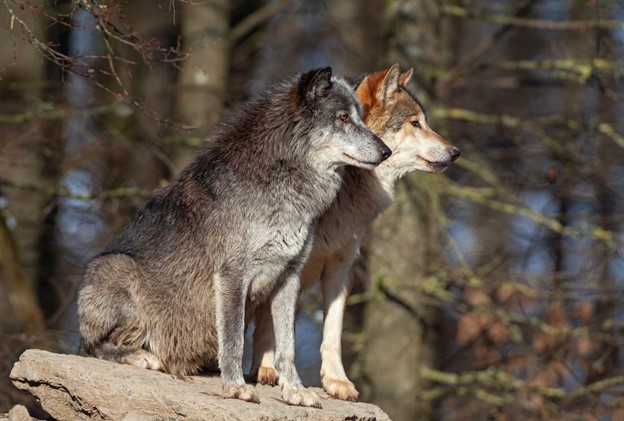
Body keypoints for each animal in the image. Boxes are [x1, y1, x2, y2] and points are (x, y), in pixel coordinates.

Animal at [78, 66, 390, 406]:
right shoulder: (232, 275)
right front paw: (236, 387)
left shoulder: (289, 275)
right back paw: (141, 356)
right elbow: (234, 339)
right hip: (117, 267)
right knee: (91, 346)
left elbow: (287, 347)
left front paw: (295, 391)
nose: (386, 151)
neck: (281, 181)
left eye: (360, 117)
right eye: (343, 118)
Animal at [251, 63, 460, 400]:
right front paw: (266, 370)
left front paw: (337, 381)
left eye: (424, 123)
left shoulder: (341, 266)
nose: (455, 152)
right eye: (415, 123)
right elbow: (271, 324)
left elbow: (333, 331)